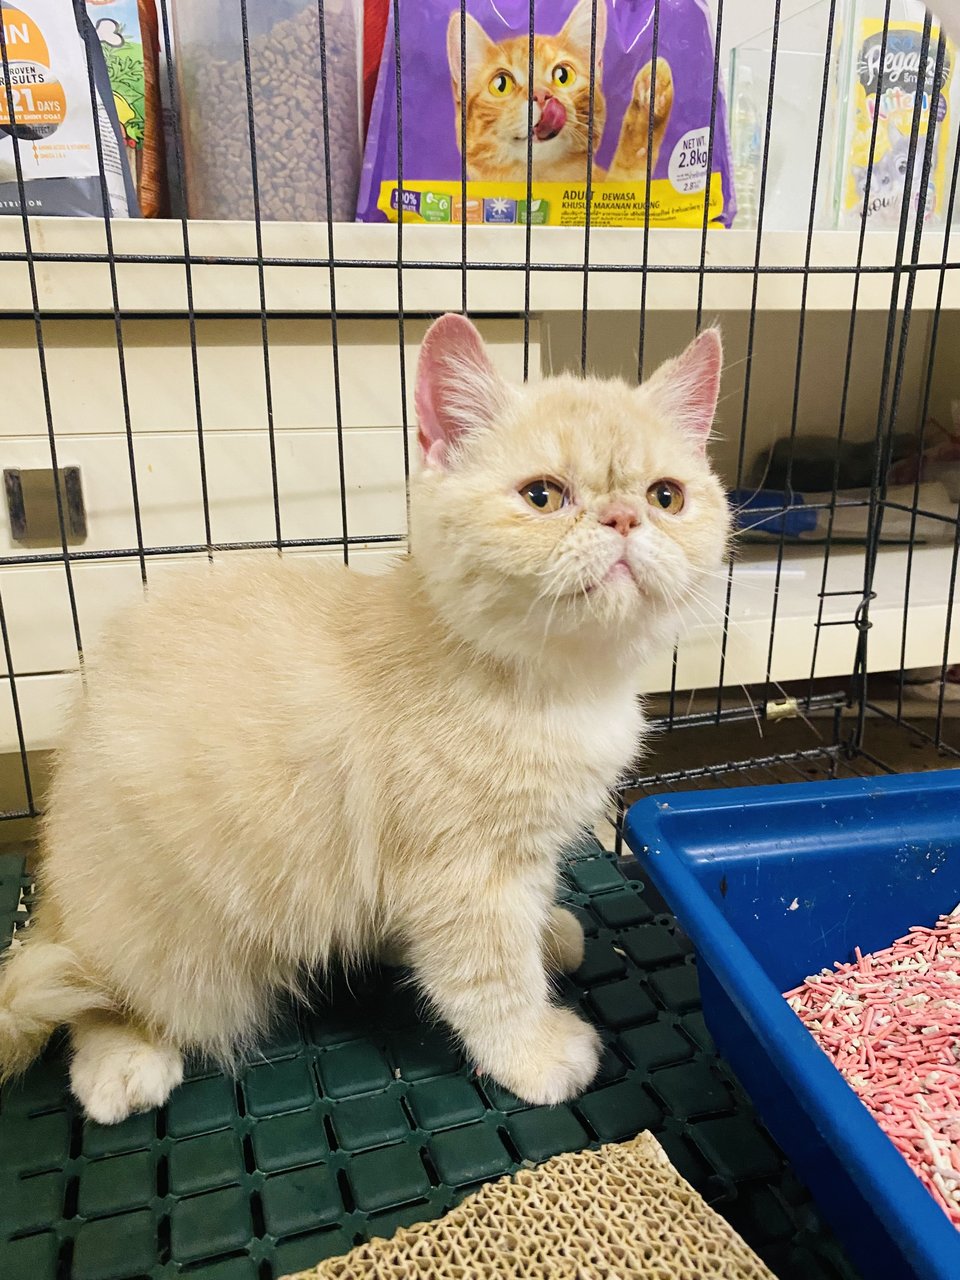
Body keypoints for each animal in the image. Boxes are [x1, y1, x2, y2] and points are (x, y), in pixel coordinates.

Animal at [0, 314, 727, 1126]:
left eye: (667, 496)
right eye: (543, 496)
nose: (626, 516)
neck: (560, 687)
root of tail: (55, 877)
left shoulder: (518, 855)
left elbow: (524, 917)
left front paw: (544, 934)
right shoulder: (460, 875)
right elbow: (489, 977)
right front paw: (533, 1051)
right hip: (173, 944)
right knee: (92, 990)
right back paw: (121, 1061)